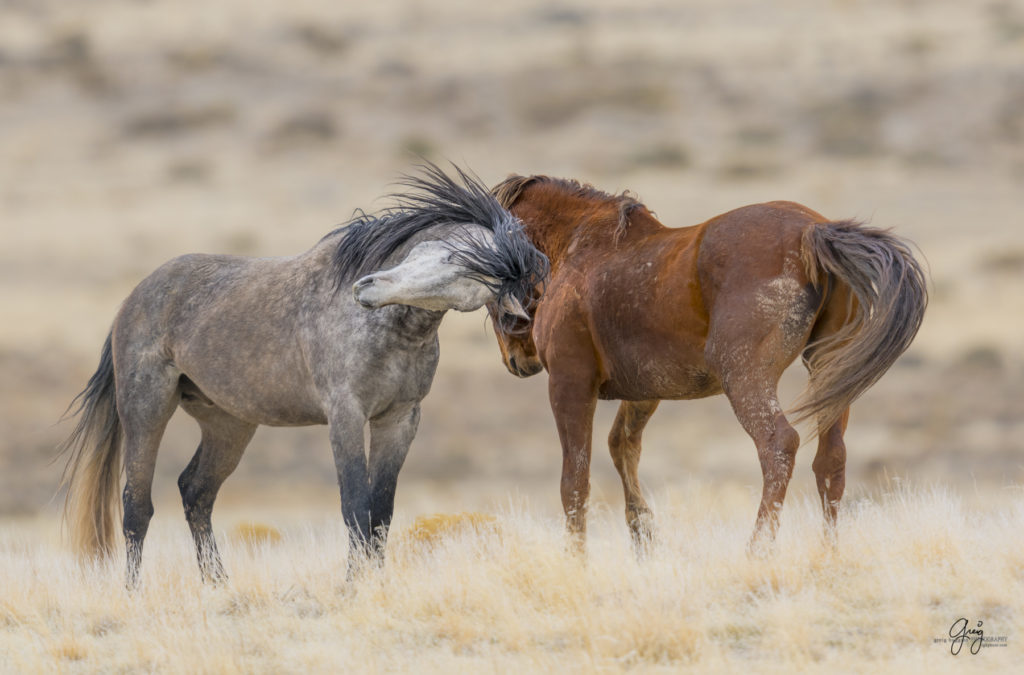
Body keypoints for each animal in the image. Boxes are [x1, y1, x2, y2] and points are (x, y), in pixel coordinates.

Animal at [59, 163, 548, 585]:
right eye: (437, 251)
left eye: (466, 273)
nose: (368, 288)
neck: (391, 331)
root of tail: (134, 298)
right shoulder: (345, 414)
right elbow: (355, 506)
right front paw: (352, 586)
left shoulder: (400, 419)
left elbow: (381, 511)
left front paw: (374, 582)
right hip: (147, 409)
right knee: (136, 507)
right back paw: (134, 594)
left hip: (228, 424)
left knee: (195, 492)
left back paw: (218, 585)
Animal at [487, 177, 929, 557]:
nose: (518, 360)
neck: (580, 248)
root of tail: (813, 231)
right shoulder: (647, 392)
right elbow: (622, 448)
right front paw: (643, 534)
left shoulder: (570, 384)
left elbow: (575, 482)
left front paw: (578, 560)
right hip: (826, 371)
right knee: (831, 461)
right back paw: (828, 553)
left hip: (745, 378)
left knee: (779, 445)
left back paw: (757, 551)